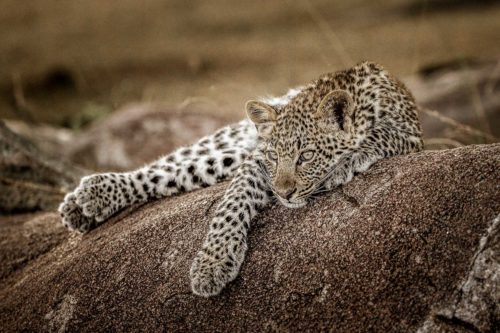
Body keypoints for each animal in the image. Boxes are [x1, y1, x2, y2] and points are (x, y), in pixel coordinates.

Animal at [60, 61, 424, 296]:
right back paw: (87, 198)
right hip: (230, 147)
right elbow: (232, 203)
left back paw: (84, 205)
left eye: (306, 155)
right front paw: (213, 262)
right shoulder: (255, 162)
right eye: (274, 156)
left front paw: (346, 163)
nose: (283, 193)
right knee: (168, 167)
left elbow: (382, 134)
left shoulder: (411, 135)